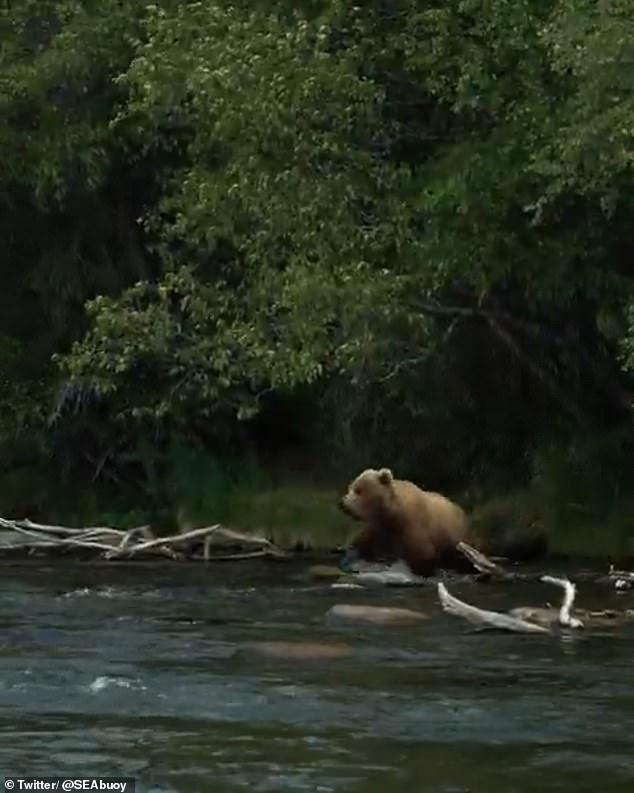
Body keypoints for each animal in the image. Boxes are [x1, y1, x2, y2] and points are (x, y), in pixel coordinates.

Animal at [338, 467, 471, 576]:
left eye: (359, 490)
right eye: (350, 487)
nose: (343, 504)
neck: (392, 513)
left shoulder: (412, 525)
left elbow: (422, 554)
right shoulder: (379, 528)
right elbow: (366, 545)